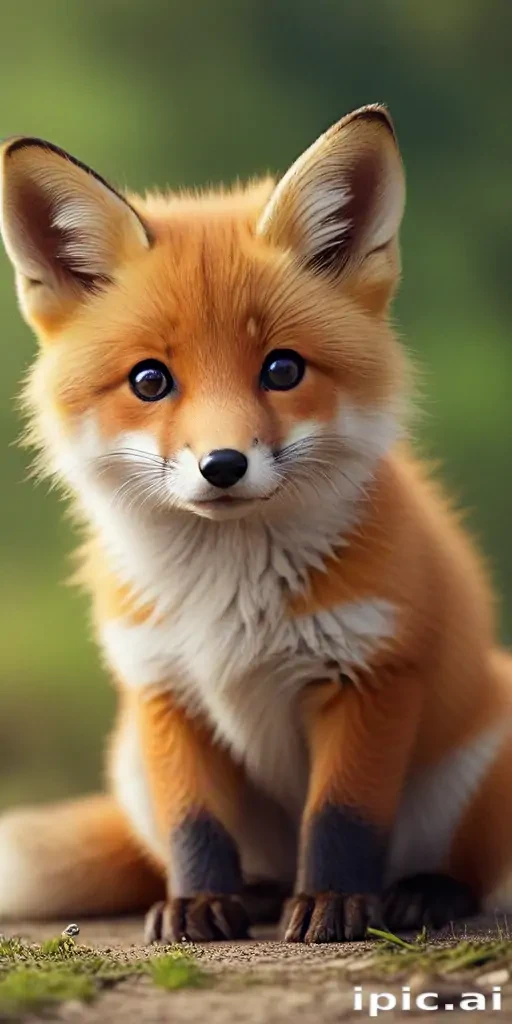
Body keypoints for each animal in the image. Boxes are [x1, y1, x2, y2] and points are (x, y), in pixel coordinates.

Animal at [0, 103, 511, 944]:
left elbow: (342, 816)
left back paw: (420, 893)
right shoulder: (162, 686)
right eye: (150, 381)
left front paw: (334, 902)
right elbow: (194, 827)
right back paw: (261, 894)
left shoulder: (372, 672)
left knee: (462, 867)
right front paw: (198, 905)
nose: (223, 465)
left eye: (282, 369)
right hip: (130, 762)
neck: (228, 597)